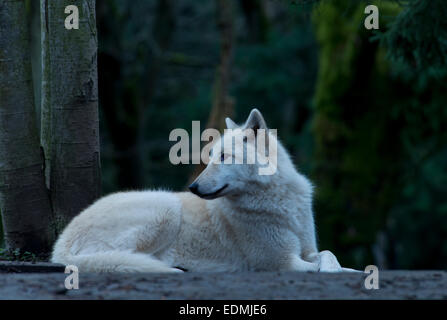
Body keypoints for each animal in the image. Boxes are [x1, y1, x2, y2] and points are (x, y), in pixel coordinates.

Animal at [52, 109, 356, 272]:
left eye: (223, 157)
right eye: (210, 157)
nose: (193, 187)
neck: (278, 201)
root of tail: (60, 246)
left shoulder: (306, 250)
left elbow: (331, 255)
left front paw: (341, 268)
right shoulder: (282, 262)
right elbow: (320, 265)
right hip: (166, 207)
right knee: (121, 259)